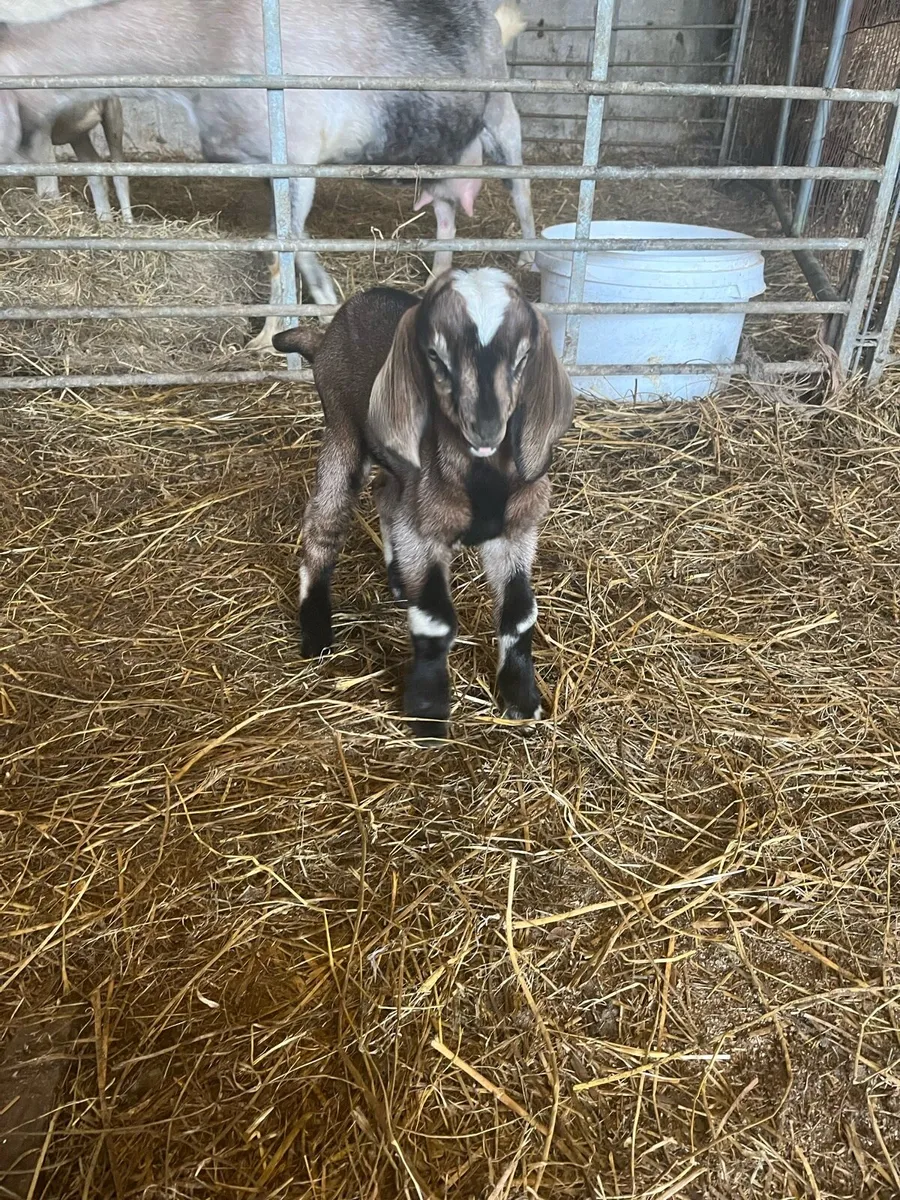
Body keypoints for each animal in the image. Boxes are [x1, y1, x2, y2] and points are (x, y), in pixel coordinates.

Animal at [0, 0, 534, 347]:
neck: (209, 38)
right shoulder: (265, 166)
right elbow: (291, 242)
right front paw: (324, 303)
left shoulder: (296, 162)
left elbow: (281, 248)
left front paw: (267, 339)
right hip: (443, 153)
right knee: (445, 212)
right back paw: (437, 280)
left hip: (500, 114)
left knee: (519, 184)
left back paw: (529, 256)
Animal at [272, 268, 574, 739]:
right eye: (435, 356)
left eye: (523, 357)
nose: (485, 427)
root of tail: (326, 335)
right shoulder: (424, 531)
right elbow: (436, 619)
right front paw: (428, 712)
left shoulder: (516, 531)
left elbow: (520, 613)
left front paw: (522, 699)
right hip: (342, 429)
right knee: (325, 522)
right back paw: (317, 635)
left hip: (401, 471)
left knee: (387, 496)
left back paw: (398, 581)